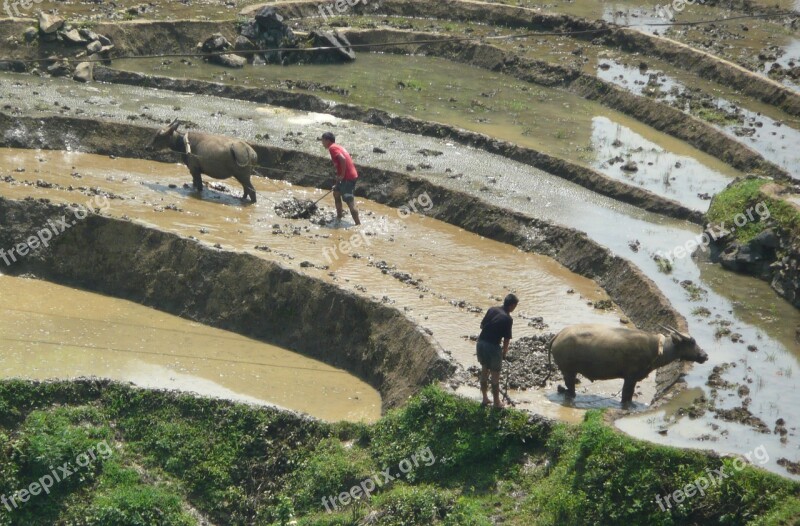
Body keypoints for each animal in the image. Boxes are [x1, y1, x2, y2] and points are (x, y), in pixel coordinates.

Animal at [552, 324, 708, 406]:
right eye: (692, 342)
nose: (704, 355)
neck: (656, 349)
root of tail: (558, 335)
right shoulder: (630, 378)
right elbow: (627, 395)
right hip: (568, 371)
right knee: (570, 388)